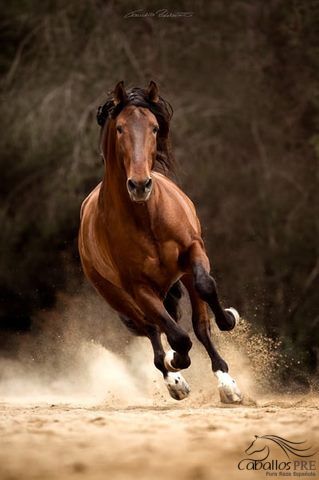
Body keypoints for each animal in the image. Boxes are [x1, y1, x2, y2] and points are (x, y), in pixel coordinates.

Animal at [79, 80, 242, 404]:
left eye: (154, 127)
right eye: (120, 128)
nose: (140, 185)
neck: (145, 217)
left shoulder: (193, 253)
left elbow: (206, 292)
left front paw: (229, 320)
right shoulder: (138, 287)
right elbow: (176, 336)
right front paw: (175, 362)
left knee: (197, 325)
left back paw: (225, 382)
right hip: (117, 295)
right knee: (152, 328)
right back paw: (174, 378)